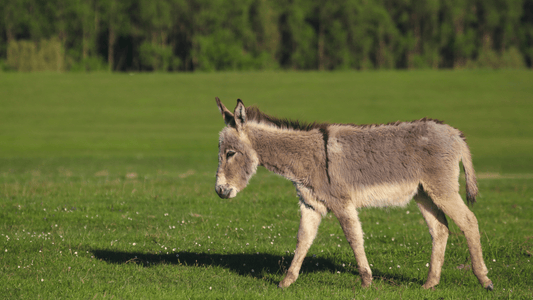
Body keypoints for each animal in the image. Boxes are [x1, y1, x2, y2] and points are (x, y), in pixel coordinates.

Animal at [212, 98, 490, 290]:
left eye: (230, 153)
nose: (219, 191)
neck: (308, 158)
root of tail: (455, 133)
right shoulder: (311, 205)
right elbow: (303, 240)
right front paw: (286, 281)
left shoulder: (341, 203)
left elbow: (354, 238)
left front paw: (366, 281)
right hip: (424, 194)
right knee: (440, 229)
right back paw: (430, 283)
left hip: (443, 190)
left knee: (469, 222)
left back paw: (484, 279)